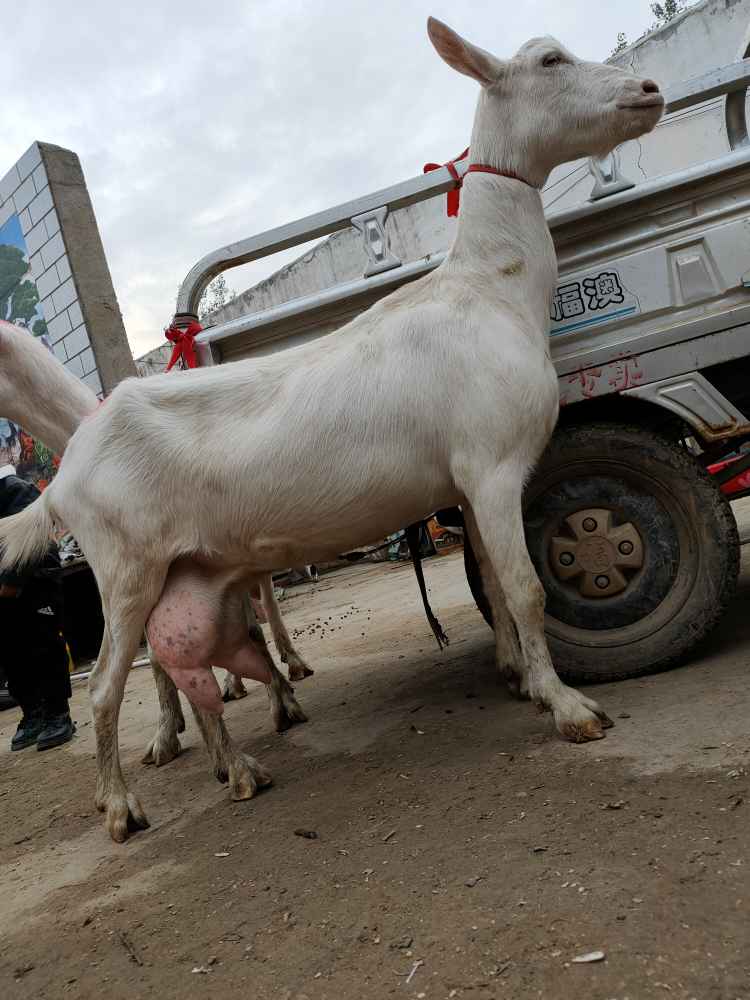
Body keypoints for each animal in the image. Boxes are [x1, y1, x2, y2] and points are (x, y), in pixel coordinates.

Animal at [0, 318, 308, 764]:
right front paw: (168, 732)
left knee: (266, 600)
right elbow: (164, 653)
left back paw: (291, 663)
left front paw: (280, 703)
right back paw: (233, 684)